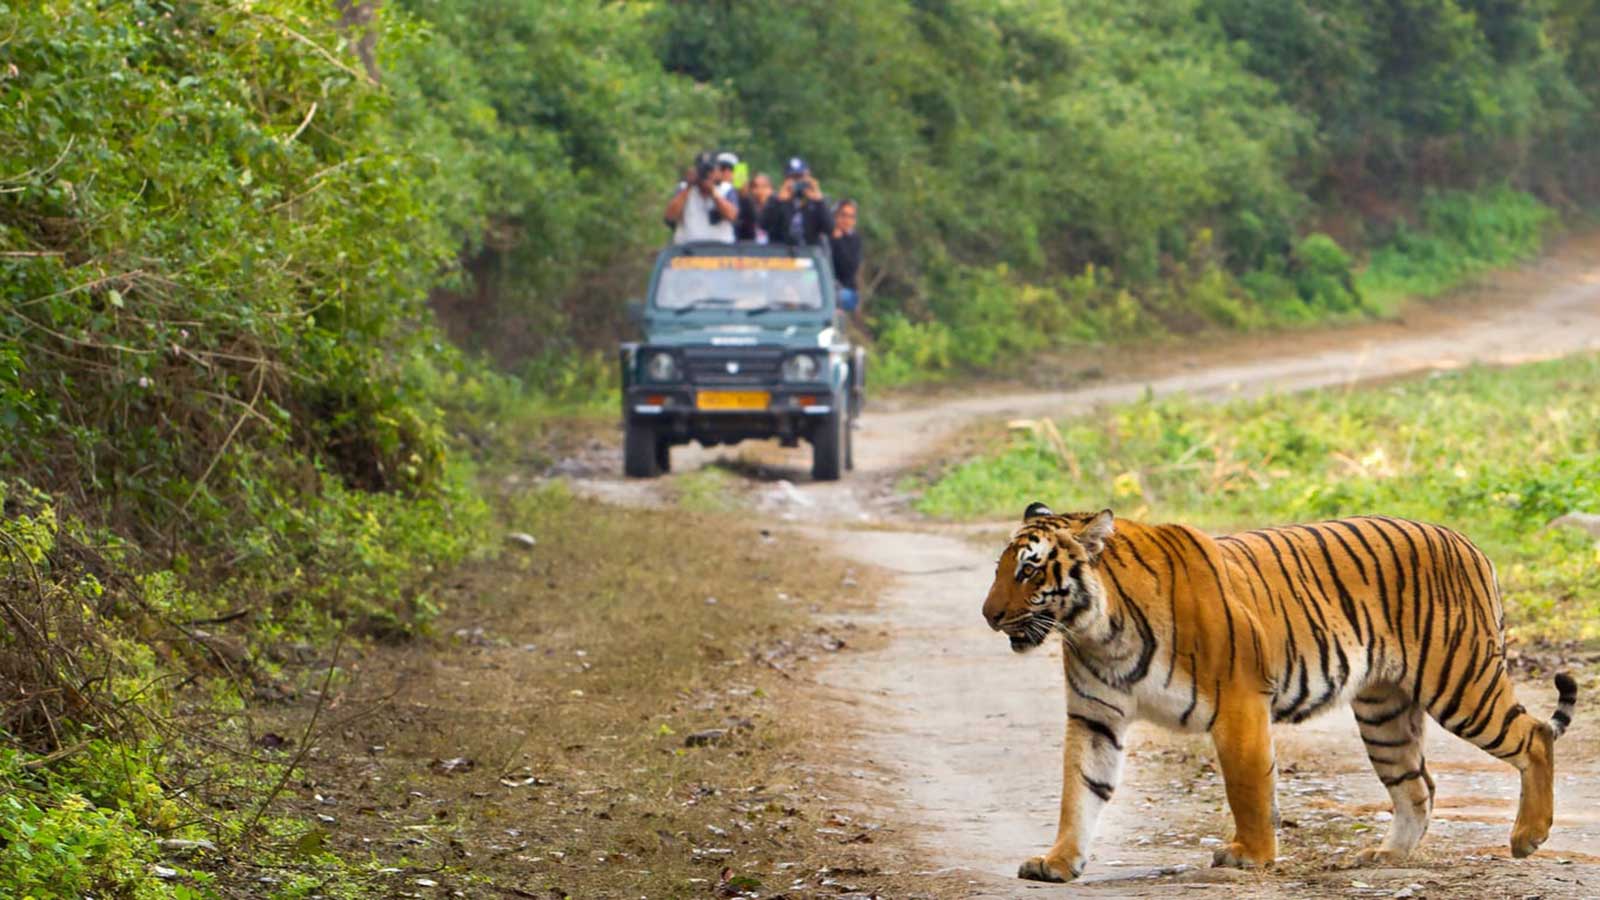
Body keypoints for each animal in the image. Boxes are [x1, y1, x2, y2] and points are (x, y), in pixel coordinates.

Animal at [979, 499, 1580, 877]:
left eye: (1030, 571)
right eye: (1002, 568)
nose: (988, 615)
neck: (1097, 630)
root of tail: (1468, 541)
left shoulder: (1239, 702)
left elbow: (1247, 787)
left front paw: (1250, 856)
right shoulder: (1095, 717)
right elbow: (1079, 791)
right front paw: (1058, 862)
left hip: (1460, 682)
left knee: (1533, 737)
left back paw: (1528, 836)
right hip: (1384, 713)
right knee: (1418, 786)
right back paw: (1387, 857)